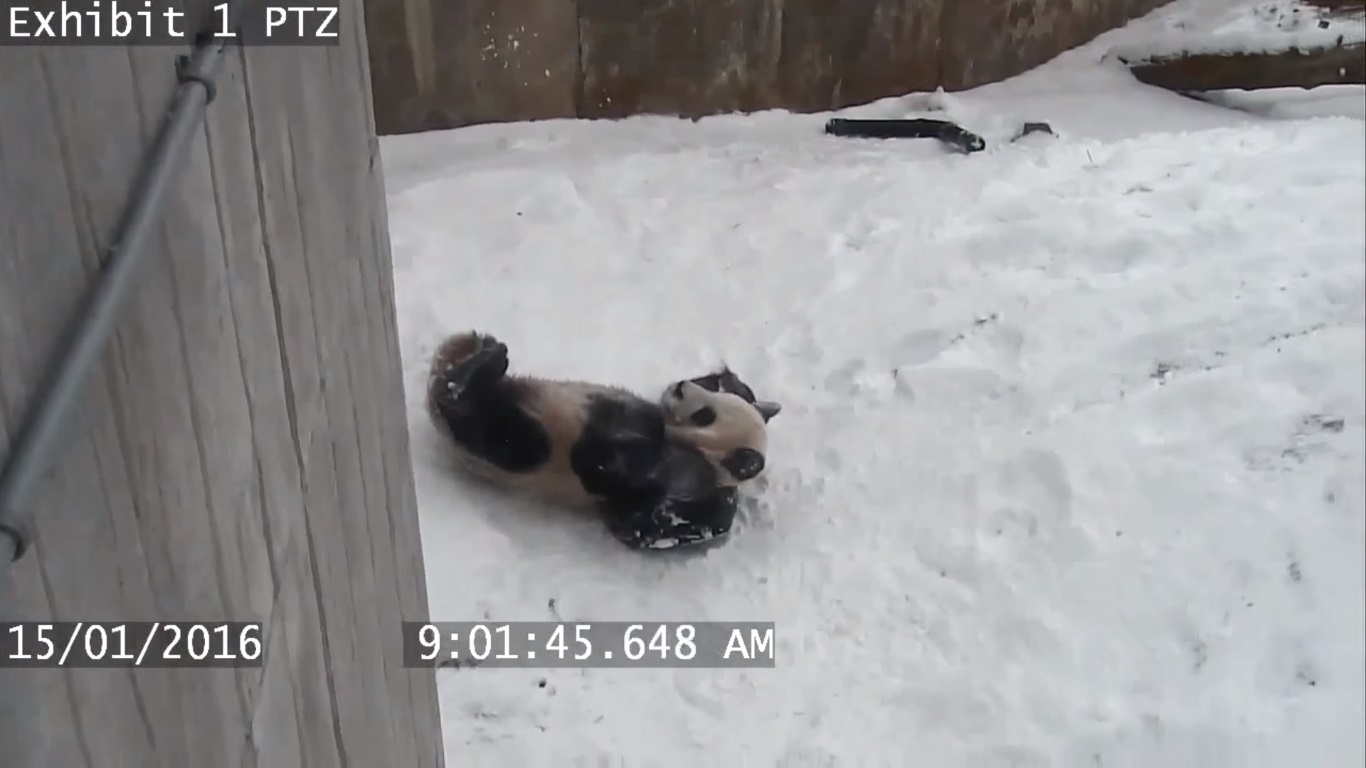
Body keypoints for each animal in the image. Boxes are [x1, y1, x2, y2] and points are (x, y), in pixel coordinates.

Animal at [424, 330, 780, 550]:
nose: (680, 388)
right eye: (711, 400)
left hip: (522, 439)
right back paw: (488, 351)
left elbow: (634, 517)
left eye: (705, 414)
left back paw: (479, 369)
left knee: (500, 435)